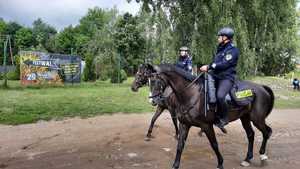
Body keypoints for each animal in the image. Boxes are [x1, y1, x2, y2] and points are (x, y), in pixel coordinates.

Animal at [131, 63, 274, 169]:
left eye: (156, 80)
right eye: (148, 80)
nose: (153, 100)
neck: (190, 94)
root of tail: (261, 87)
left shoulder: (206, 125)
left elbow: (214, 144)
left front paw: (220, 163)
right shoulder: (184, 123)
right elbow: (180, 145)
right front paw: (175, 164)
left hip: (257, 119)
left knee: (266, 132)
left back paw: (263, 156)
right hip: (245, 118)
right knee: (251, 135)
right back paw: (247, 159)